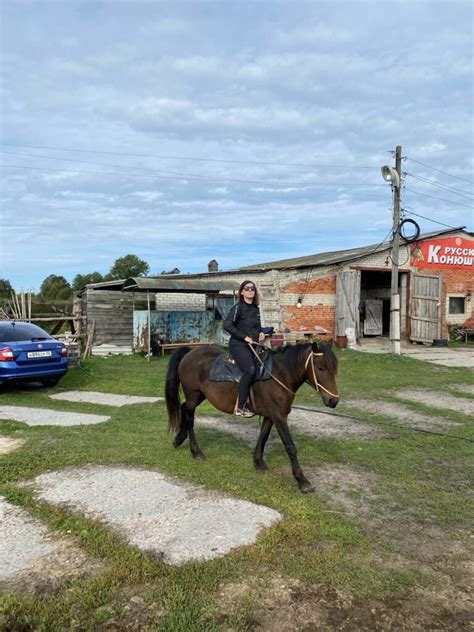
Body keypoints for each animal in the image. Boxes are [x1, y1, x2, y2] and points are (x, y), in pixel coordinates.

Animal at [165, 340, 338, 494]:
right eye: (320, 367)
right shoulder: (279, 417)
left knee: (183, 408)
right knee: (190, 419)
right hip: (193, 395)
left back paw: (178, 439)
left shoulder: (270, 416)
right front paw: (303, 481)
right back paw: (196, 452)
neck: (279, 375)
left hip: (199, 396)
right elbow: (290, 446)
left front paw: (258, 462)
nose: (333, 401)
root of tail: (190, 352)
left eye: (334, 369)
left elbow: (263, 437)